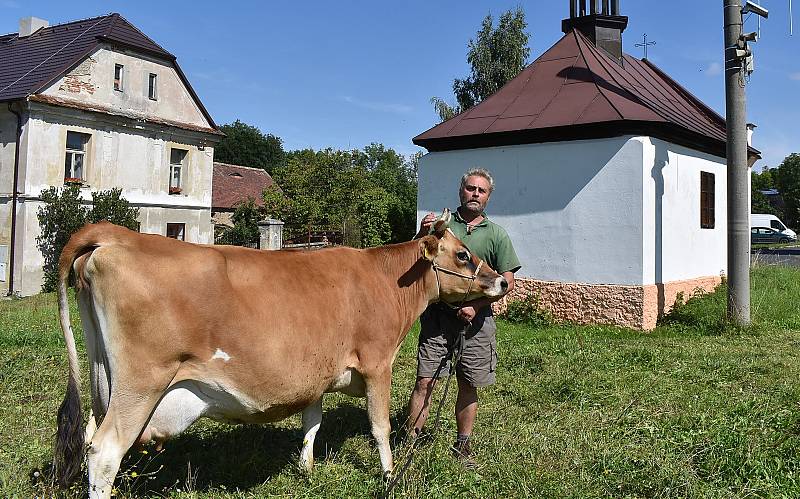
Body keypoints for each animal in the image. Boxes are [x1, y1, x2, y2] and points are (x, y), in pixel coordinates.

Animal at [53, 209, 506, 498]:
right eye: (463, 255)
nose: (502, 280)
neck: (384, 280)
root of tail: (119, 235)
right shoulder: (378, 363)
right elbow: (379, 427)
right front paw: (389, 476)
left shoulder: (317, 374)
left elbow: (312, 423)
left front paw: (306, 471)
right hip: (141, 383)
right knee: (104, 452)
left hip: (103, 380)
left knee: (90, 437)